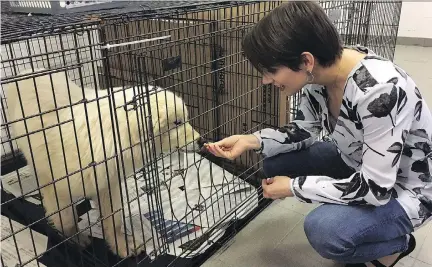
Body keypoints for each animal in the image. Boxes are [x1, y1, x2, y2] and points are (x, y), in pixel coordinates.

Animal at [5, 68, 202, 258]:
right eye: (177, 122)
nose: (201, 141)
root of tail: (27, 71)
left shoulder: (108, 184)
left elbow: (114, 220)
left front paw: (121, 245)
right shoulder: (58, 188)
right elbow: (66, 220)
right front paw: (76, 238)